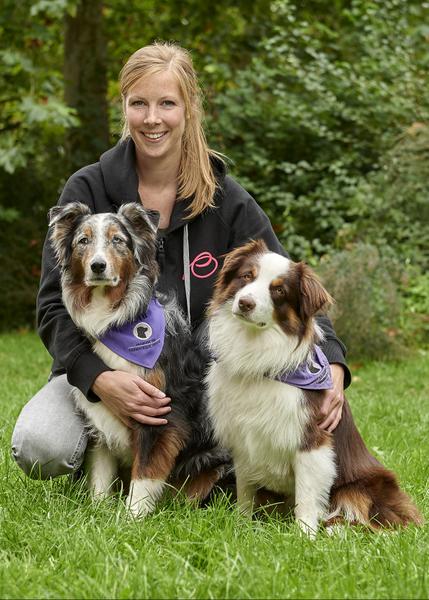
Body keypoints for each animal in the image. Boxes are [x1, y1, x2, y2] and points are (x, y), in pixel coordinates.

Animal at [48, 200, 229, 516]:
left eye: (117, 240)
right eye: (83, 241)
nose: (98, 266)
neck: (113, 319)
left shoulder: (160, 411)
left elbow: (145, 473)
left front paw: (132, 517)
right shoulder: (101, 413)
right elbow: (101, 473)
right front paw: (98, 512)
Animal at [205, 238, 422, 536]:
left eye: (279, 290)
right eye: (247, 276)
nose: (245, 303)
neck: (256, 350)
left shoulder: (312, 440)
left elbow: (307, 496)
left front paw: (303, 536)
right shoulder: (244, 439)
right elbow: (245, 490)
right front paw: (241, 525)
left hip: (362, 487)